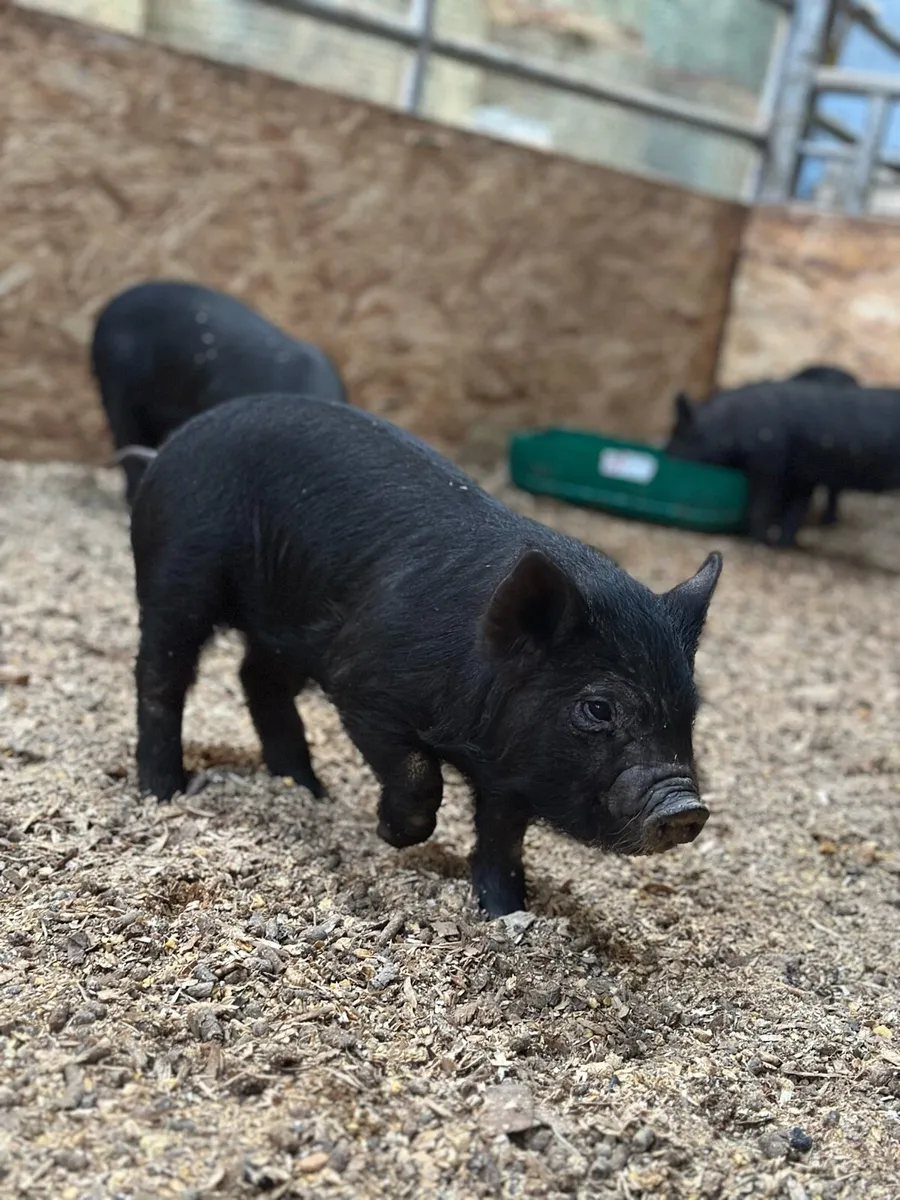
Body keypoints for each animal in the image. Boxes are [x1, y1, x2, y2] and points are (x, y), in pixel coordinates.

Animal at [130, 394, 723, 917]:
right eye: (599, 708)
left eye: (689, 713)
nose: (686, 807)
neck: (468, 734)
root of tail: (170, 446)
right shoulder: (363, 687)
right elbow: (420, 775)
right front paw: (389, 836)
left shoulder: (512, 768)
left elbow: (504, 837)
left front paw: (506, 913)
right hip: (177, 575)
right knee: (161, 675)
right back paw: (163, 792)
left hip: (282, 627)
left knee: (256, 678)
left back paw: (309, 792)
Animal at [666, 375, 900, 548]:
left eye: (680, 433)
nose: (668, 454)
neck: (730, 427)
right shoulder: (802, 475)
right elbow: (796, 510)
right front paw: (782, 544)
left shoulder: (769, 465)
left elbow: (762, 505)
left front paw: (762, 542)